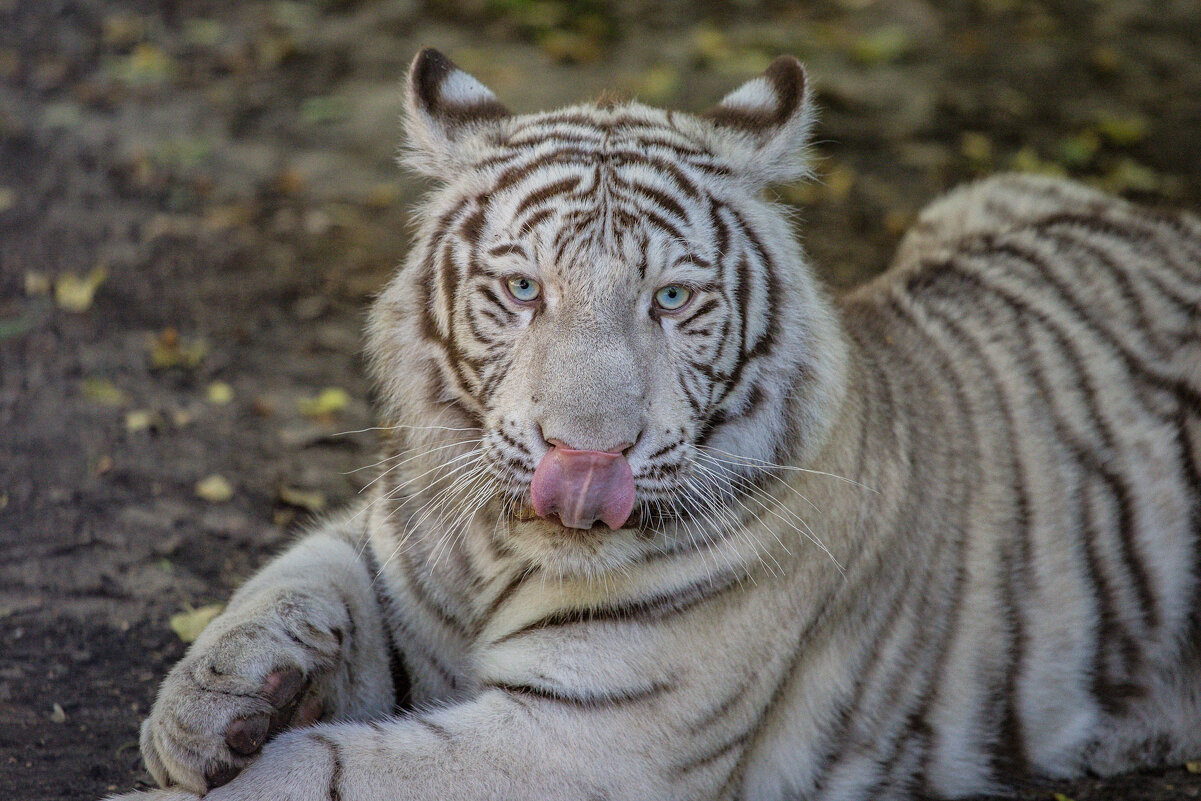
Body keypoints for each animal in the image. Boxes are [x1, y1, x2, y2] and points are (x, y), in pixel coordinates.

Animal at [105, 48, 1201, 801]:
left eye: (671, 300)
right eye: (522, 289)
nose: (586, 456)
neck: (495, 549)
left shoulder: (587, 741)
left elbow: (320, 772)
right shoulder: (395, 548)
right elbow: (288, 578)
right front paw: (204, 710)